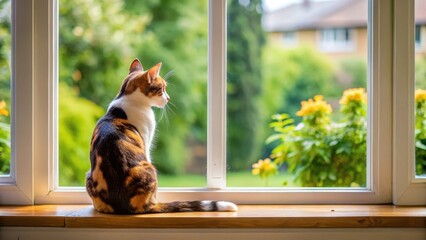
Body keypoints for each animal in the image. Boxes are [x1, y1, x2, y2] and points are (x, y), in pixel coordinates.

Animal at [86, 59, 236, 214]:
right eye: (162, 89)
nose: (168, 98)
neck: (127, 100)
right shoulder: (146, 142)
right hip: (149, 168)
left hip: (88, 176)